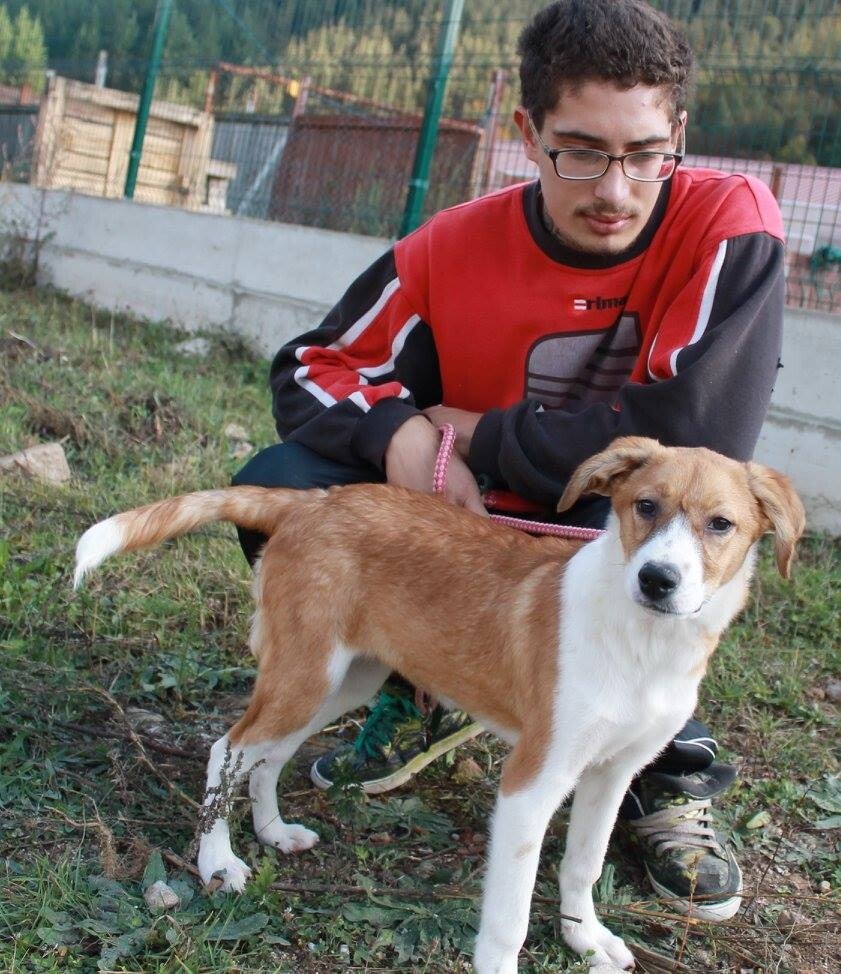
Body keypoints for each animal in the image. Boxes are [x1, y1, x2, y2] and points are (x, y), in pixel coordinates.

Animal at [74, 436, 804, 972]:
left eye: (720, 525)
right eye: (644, 507)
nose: (656, 580)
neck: (644, 643)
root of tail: (312, 503)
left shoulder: (610, 773)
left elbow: (582, 866)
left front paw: (584, 939)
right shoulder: (531, 782)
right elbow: (508, 917)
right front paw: (504, 963)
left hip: (343, 679)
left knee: (268, 755)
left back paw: (273, 832)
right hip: (306, 674)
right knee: (229, 748)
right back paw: (217, 861)